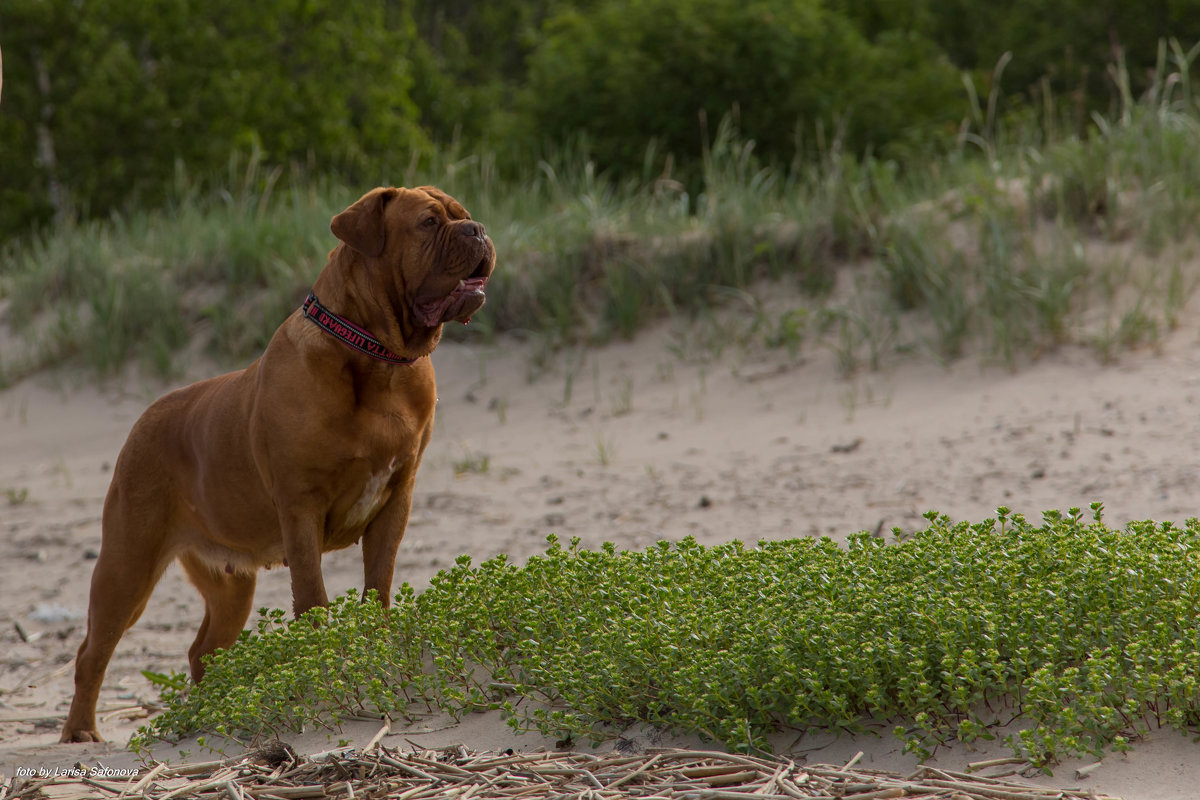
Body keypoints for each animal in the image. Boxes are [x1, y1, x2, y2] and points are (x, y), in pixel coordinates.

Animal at [59, 184, 492, 743]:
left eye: (463, 215)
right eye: (429, 223)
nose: (478, 229)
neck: (377, 358)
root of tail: (144, 418)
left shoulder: (395, 502)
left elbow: (377, 589)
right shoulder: (301, 509)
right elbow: (313, 598)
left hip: (228, 587)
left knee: (203, 651)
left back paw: (210, 715)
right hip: (126, 566)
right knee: (93, 653)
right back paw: (80, 732)